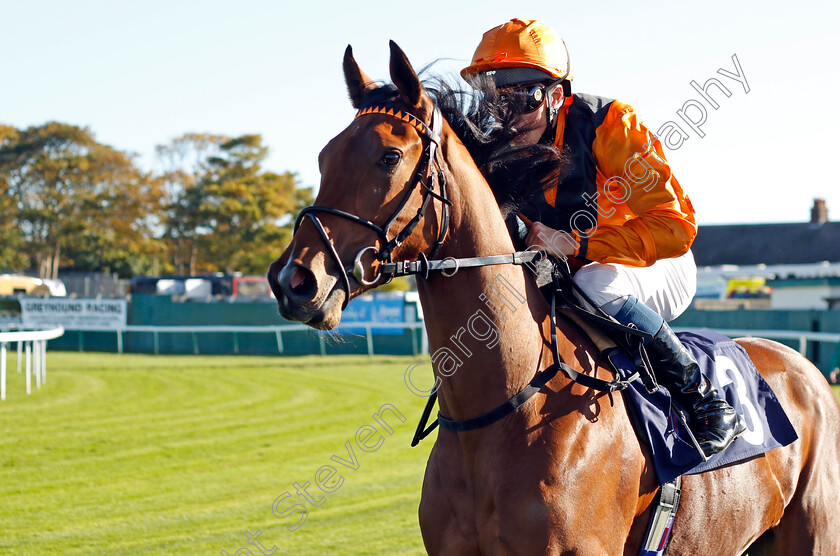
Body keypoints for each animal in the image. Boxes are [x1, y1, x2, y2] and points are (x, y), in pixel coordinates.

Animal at [270, 41, 840, 552]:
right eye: (323, 156)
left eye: (389, 156)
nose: (294, 280)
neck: (500, 409)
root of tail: (803, 366)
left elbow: (668, 216)